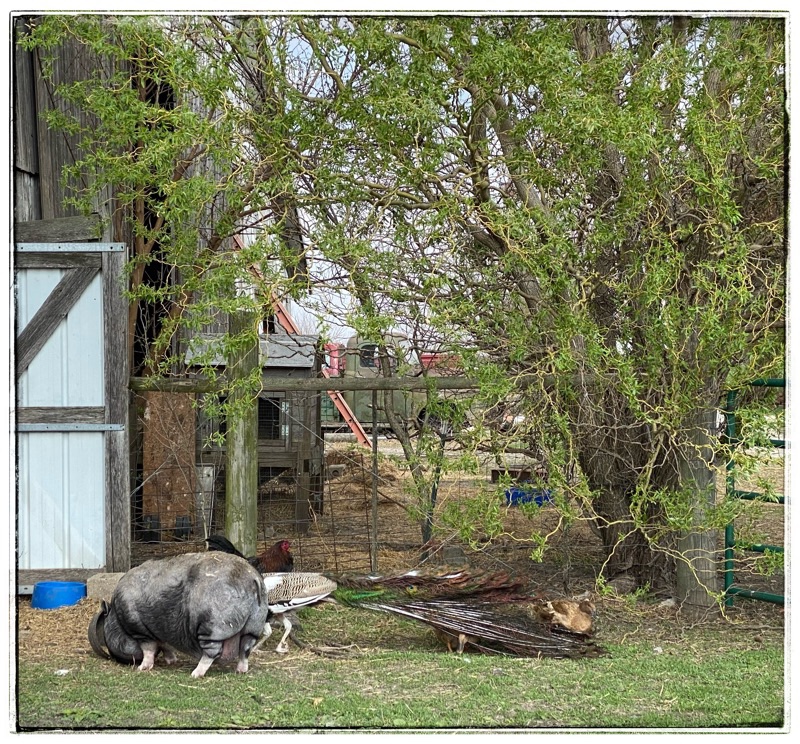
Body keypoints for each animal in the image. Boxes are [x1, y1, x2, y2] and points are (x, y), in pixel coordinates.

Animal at [88, 551, 284, 677]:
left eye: (105, 636)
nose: (115, 658)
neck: (117, 617)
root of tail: (252, 579)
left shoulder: (139, 628)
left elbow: (149, 649)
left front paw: (142, 668)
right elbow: (165, 645)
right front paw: (171, 661)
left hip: (214, 624)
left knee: (212, 652)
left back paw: (195, 674)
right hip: (254, 624)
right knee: (246, 648)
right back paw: (240, 670)